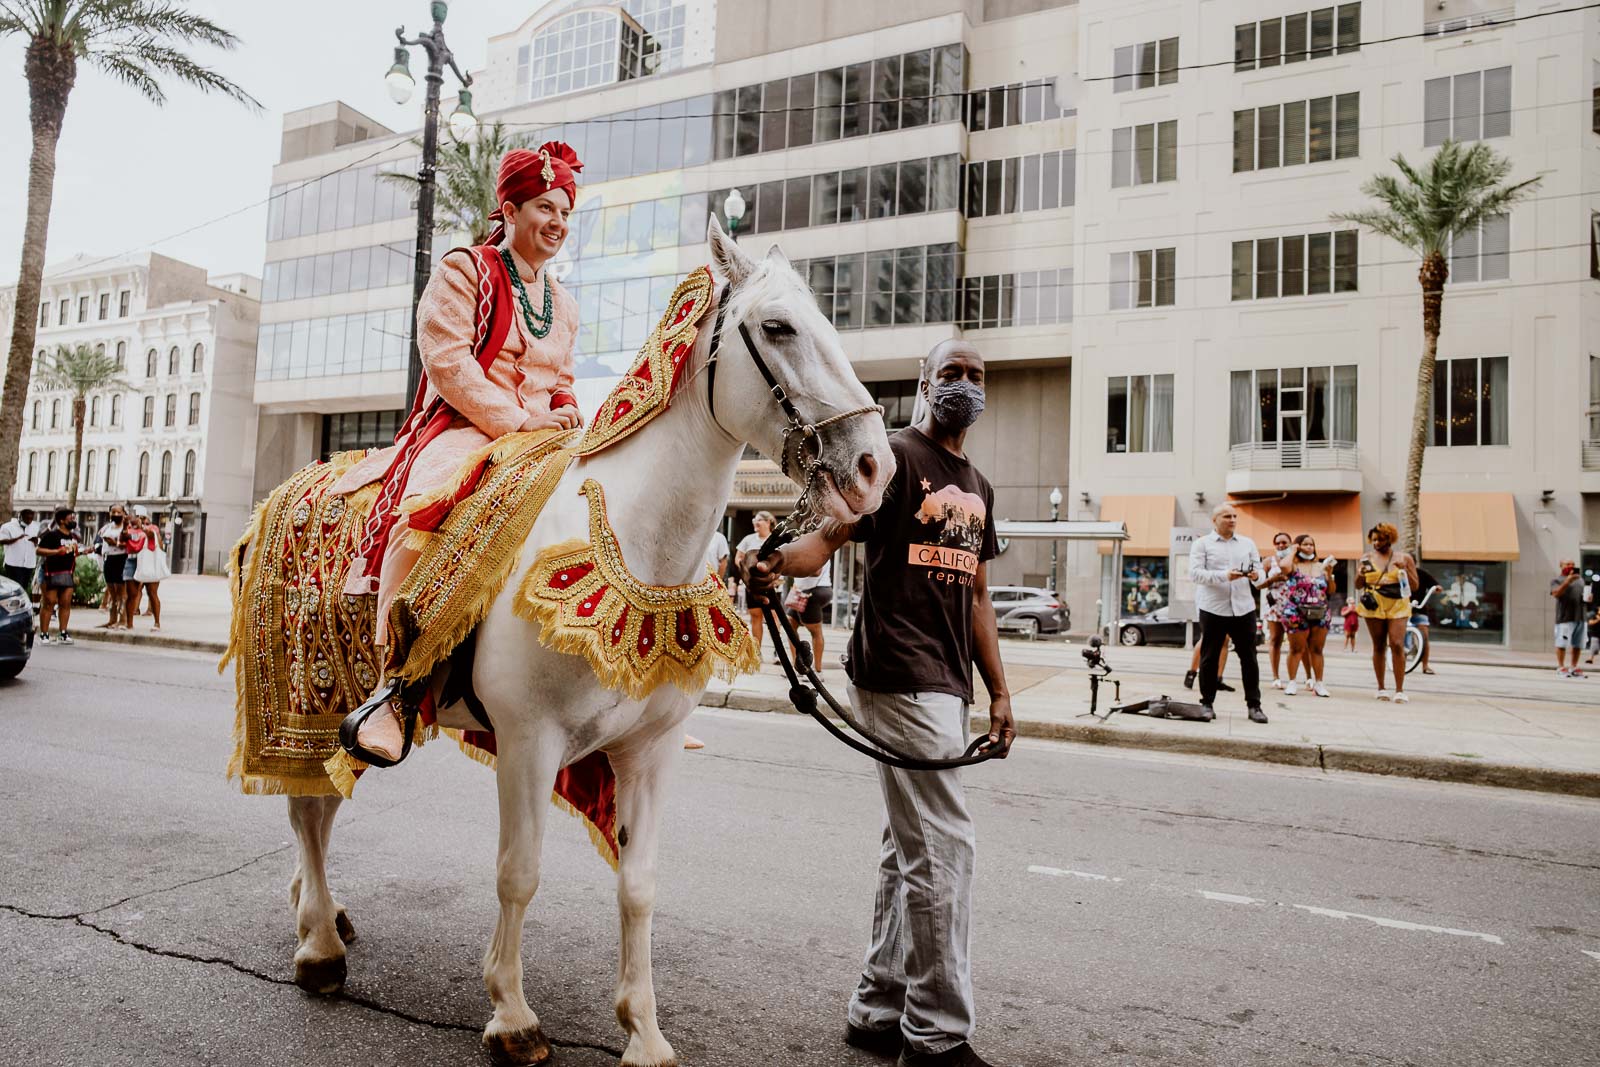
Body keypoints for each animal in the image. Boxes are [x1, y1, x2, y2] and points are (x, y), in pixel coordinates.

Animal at [280, 219, 896, 1067]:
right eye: (778, 327)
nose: (874, 467)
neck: (639, 539)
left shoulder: (650, 749)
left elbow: (639, 883)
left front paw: (643, 1027)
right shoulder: (528, 739)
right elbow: (519, 873)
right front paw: (511, 1014)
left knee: (322, 808)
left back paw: (323, 914)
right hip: (313, 694)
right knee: (309, 812)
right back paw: (318, 945)